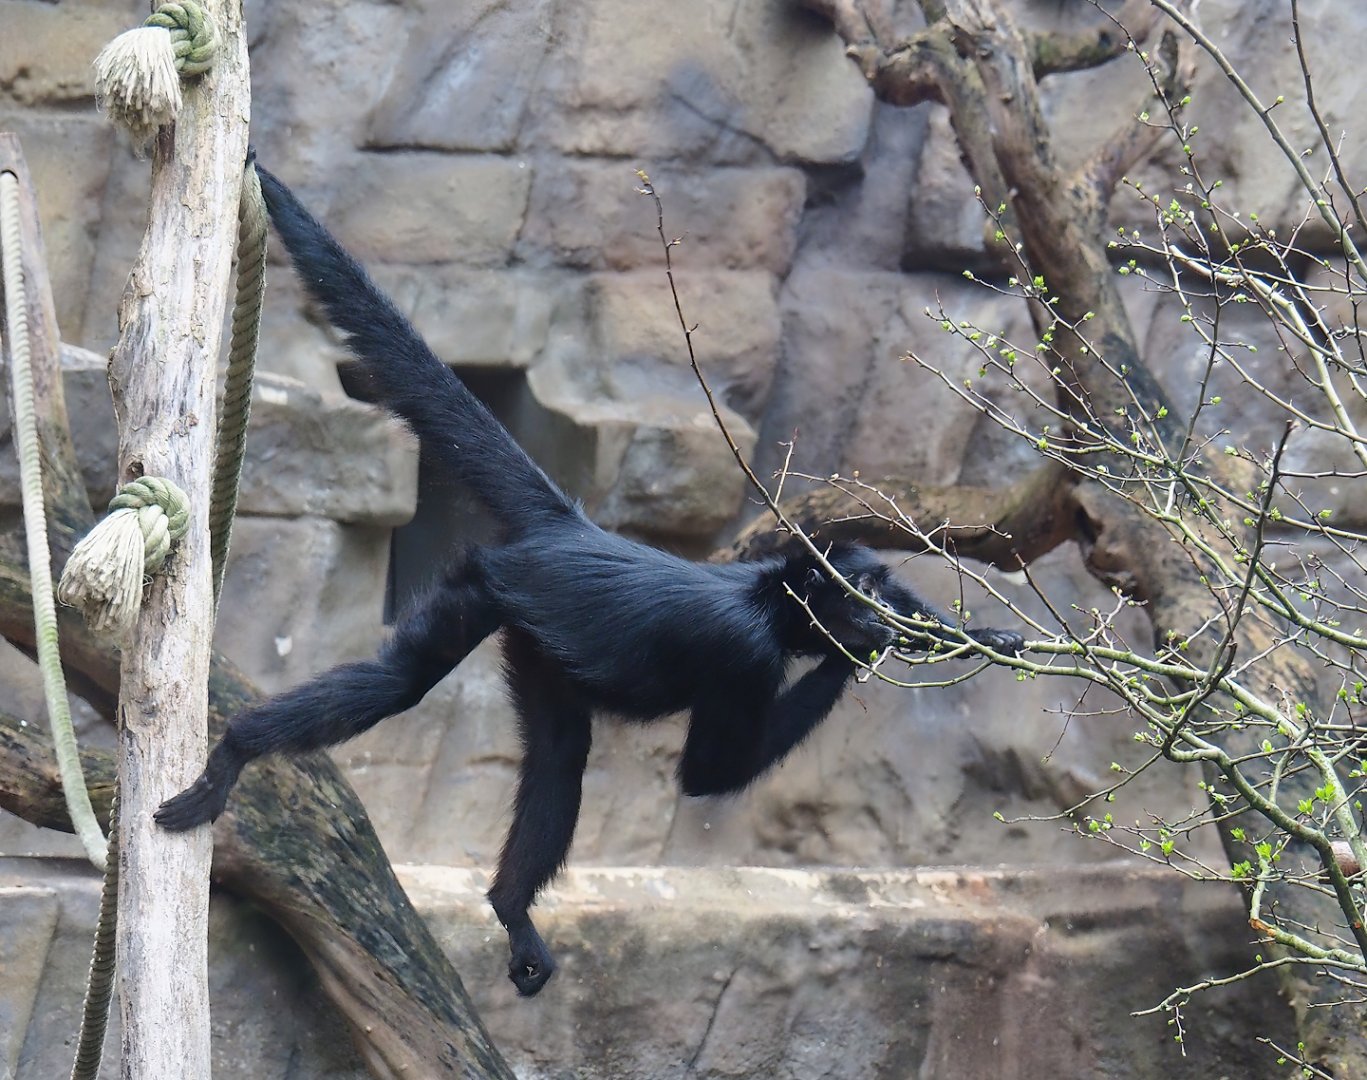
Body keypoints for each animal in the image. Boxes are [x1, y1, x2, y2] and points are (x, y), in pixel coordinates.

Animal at [156, 165, 1026, 998]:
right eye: (860, 597)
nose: (876, 613)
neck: (767, 601)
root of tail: (569, 527)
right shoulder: (742, 654)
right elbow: (706, 774)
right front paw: (858, 653)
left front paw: (976, 634)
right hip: (491, 584)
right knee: (405, 683)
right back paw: (237, 747)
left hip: (539, 639)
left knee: (558, 750)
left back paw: (510, 908)